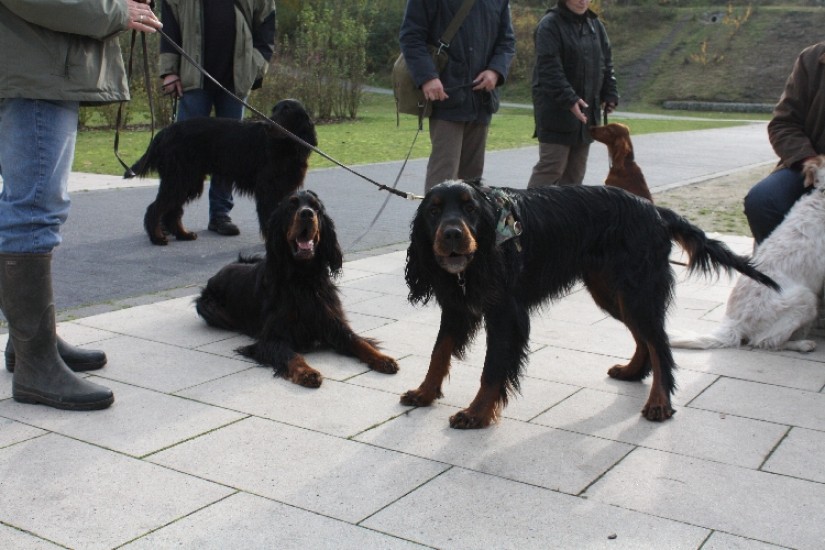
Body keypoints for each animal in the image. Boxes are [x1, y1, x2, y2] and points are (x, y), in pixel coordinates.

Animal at [129, 99, 317, 245]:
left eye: (287, 110)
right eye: (274, 110)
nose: (265, 125)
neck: (287, 145)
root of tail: (165, 131)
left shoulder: (286, 187)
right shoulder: (268, 188)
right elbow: (269, 216)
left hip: (188, 181)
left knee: (172, 211)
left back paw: (183, 235)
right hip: (179, 178)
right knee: (155, 208)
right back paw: (157, 238)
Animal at [195, 190, 398, 387]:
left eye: (316, 208)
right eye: (291, 206)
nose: (307, 214)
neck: (303, 278)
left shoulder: (333, 323)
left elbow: (358, 341)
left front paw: (383, 359)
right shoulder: (273, 338)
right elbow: (291, 355)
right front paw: (307, 373)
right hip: (210, 308)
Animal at [402, 180, 778, 428]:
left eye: (470, 208)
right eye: (434, 210)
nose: (452, 234)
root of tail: (655, 211)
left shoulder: (505, 314)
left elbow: (492, 369)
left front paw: (477, 413)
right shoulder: (456, 307)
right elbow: (439, 352)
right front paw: (425, 392)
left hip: (638, 290)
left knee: (660, 343)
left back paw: (660, 402)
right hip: (612, 292)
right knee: (644, 338)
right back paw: (632, 372)